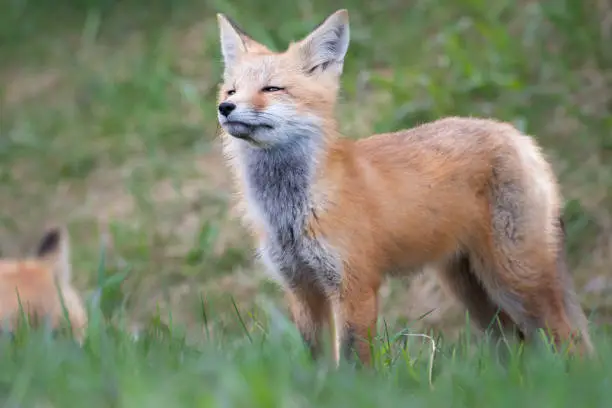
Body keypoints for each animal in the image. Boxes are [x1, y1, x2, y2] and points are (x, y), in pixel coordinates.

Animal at [214, 9, 592, 364]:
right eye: (231, 90)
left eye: (272, 89)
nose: (225, 107)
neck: (289, 213)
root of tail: (518, 135)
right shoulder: (302, 289)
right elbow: (320, 363)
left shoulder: (355, 286)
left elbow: (353, 363)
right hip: (474, 292)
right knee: (516, 346)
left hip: (515, 279)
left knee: (572, 339)